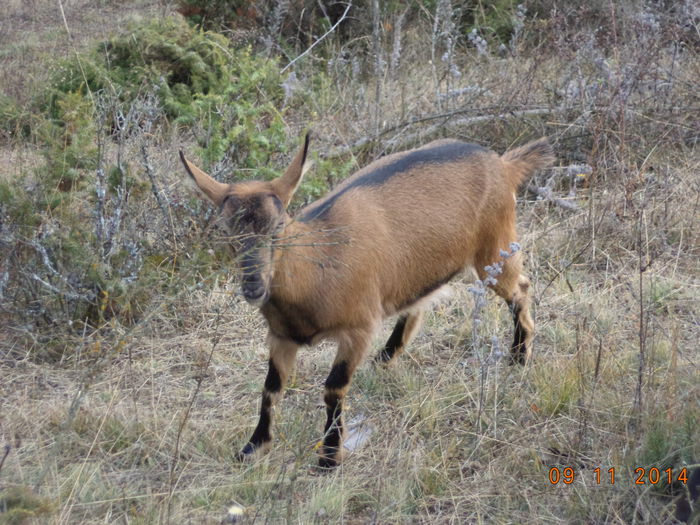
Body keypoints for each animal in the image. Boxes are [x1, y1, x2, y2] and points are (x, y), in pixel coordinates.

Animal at [179, 134, 552, 466]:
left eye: (280, 226)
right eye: (226, 231)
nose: (254, 286)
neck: (318, 267)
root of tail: (503, 164)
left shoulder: (358, 328)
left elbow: (333, 388)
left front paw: (329, 458)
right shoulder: (281, 336)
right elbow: (271, 389)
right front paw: (253, 448)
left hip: (495, 248)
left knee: (521, 287)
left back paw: (519, 357)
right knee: (417, 303)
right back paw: (385, 357)